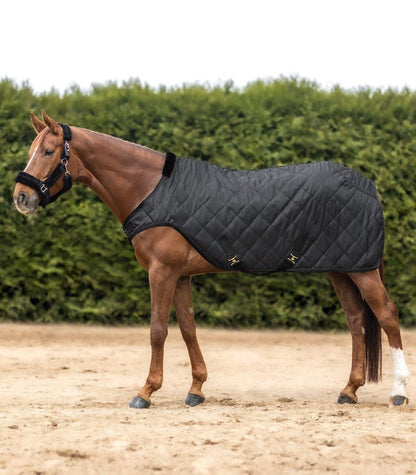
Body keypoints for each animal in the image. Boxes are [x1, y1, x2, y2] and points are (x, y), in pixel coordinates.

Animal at [13, 111, 410, 410]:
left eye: (48, 151)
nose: (21, 197)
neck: (150, 189)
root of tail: (367, 186)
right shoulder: (181, 276)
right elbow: (188, 328)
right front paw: (196, 390)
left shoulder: (162, 272)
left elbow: (158, 329)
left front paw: (146, 392)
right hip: (341, 269)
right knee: (357, 320)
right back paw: (349, 390)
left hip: (362, 270)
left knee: (386, 315)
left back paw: (398, 392)